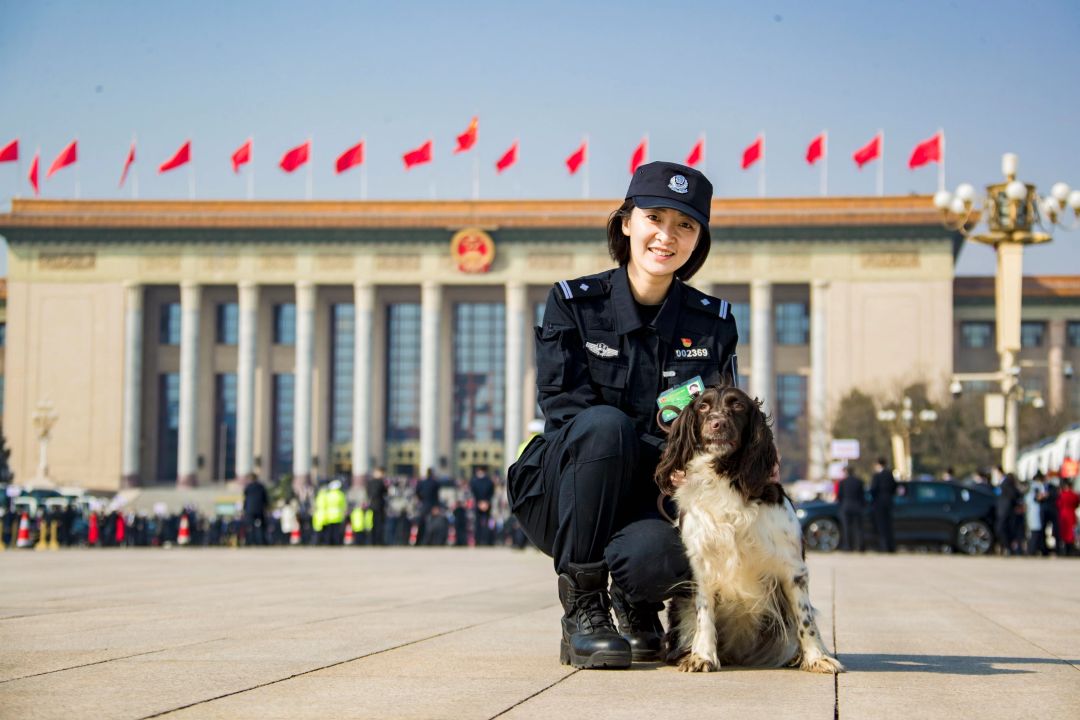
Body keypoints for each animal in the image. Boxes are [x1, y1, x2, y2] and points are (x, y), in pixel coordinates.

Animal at [652, 386, 846, 673]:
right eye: (703, 407)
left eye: (738, 406)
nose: (717, 423)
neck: (725, 476)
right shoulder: (703, 564)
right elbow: (704, 614)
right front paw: (702, 655)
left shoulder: (793, 568)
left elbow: (805, 619)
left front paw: (816, 657)